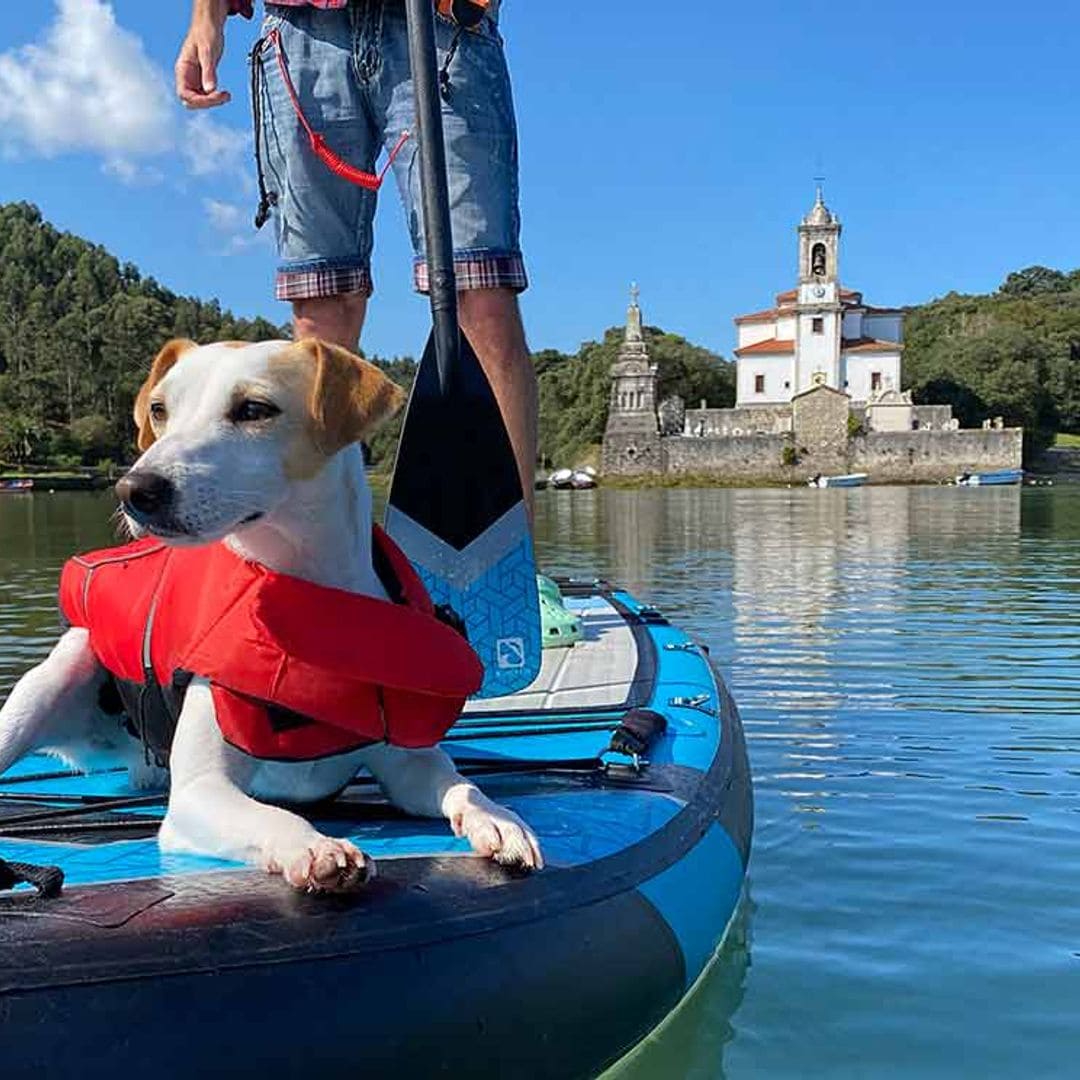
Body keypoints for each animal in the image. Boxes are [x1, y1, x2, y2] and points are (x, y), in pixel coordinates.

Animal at [0, 339, 544, 894]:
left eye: (254, 410)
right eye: (159, 410)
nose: (135, 489)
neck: (307, 595)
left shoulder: (408, 763)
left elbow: (458, 783)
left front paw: (496, 818)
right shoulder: (199, 794)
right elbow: (273, 815)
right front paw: (315, 847)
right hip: (44, 690)